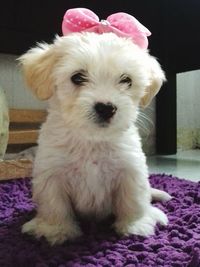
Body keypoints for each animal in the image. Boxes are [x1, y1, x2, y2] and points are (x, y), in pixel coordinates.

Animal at [19, 32, 171, 246]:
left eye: (127, 80)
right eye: (77, 77)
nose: (106, 108)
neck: (92, 140)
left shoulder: (130, 170)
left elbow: (133, 199)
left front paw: (135, 225)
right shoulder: (51, 173)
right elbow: (54, 204)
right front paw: (56, 231)